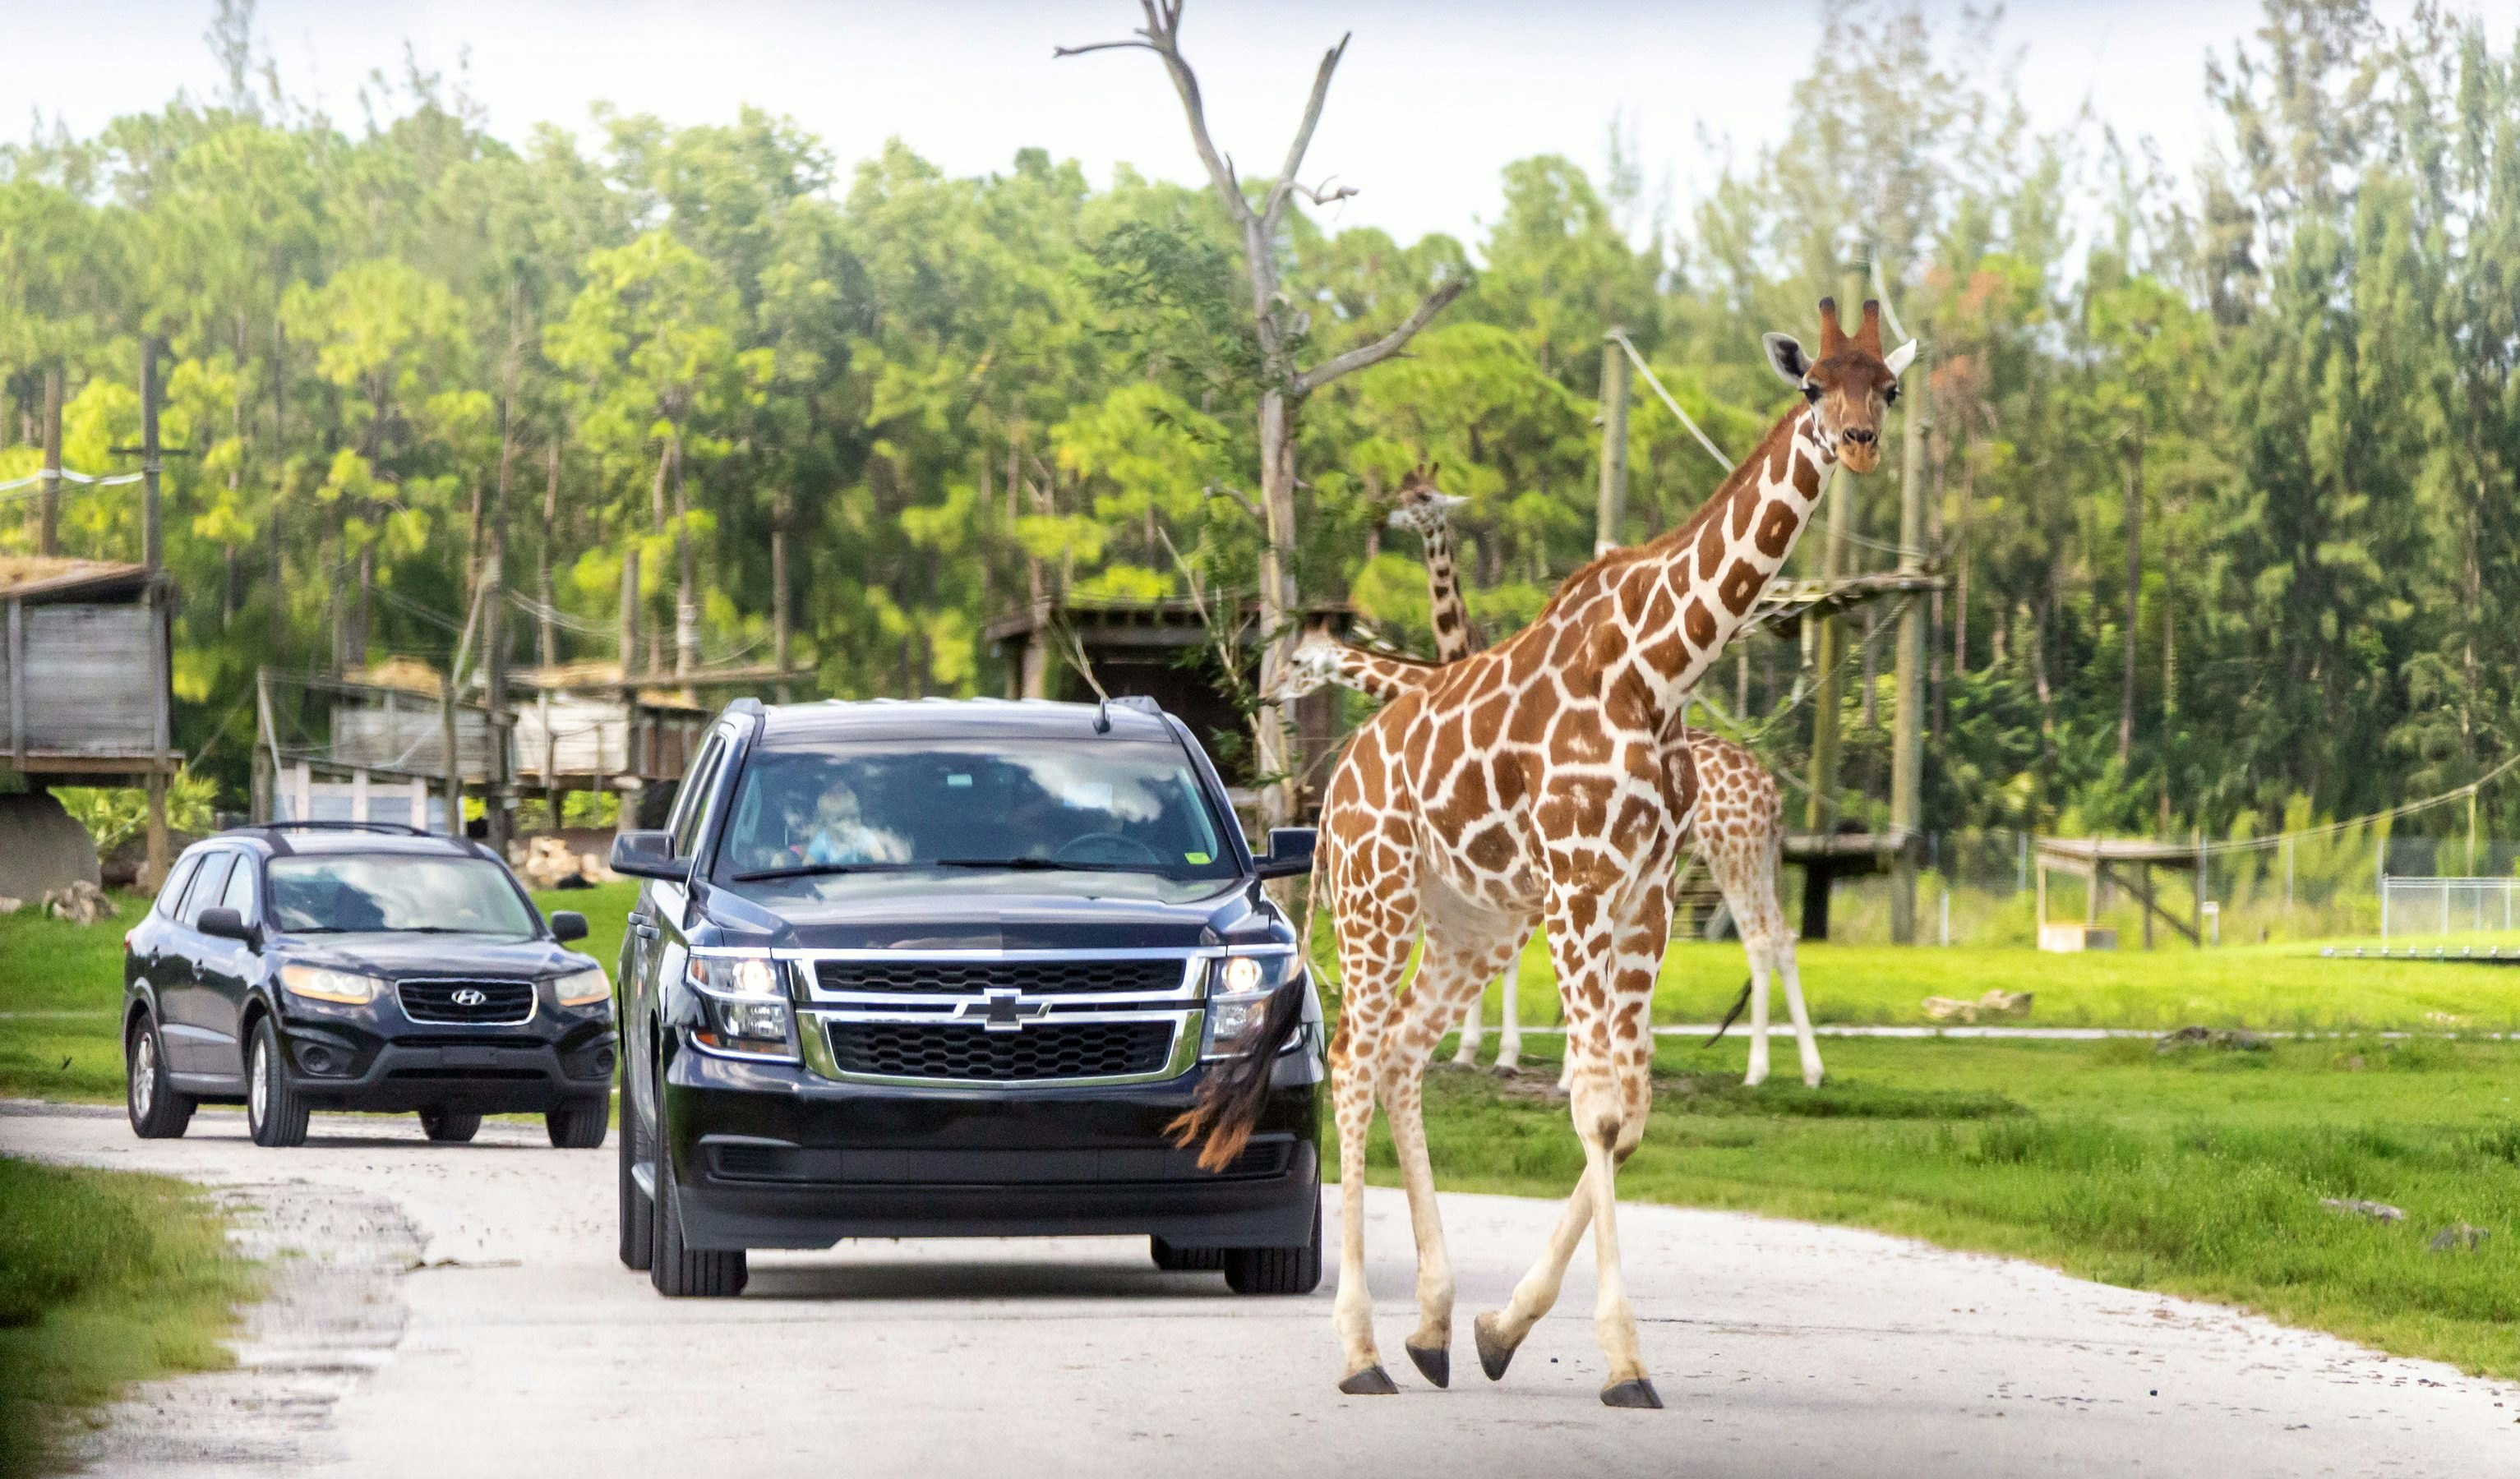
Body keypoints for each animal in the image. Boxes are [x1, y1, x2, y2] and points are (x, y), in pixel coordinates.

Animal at [1182, 299, 1911, 1406]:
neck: (1661, 667)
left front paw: (1500, 1329)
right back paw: (1361, 1353)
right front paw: (1622, 1359)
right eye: (1813, 386)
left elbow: (1629, 1110)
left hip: (1470, 922)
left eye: (1889, 386)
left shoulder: (1643, 897)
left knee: (1402, 1053)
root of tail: (1340, 784)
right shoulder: (1574, 885)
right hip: (1376, 899)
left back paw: (1431, 1330)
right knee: (1352, 1058)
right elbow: (1596, 1105)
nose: (1861, 441)